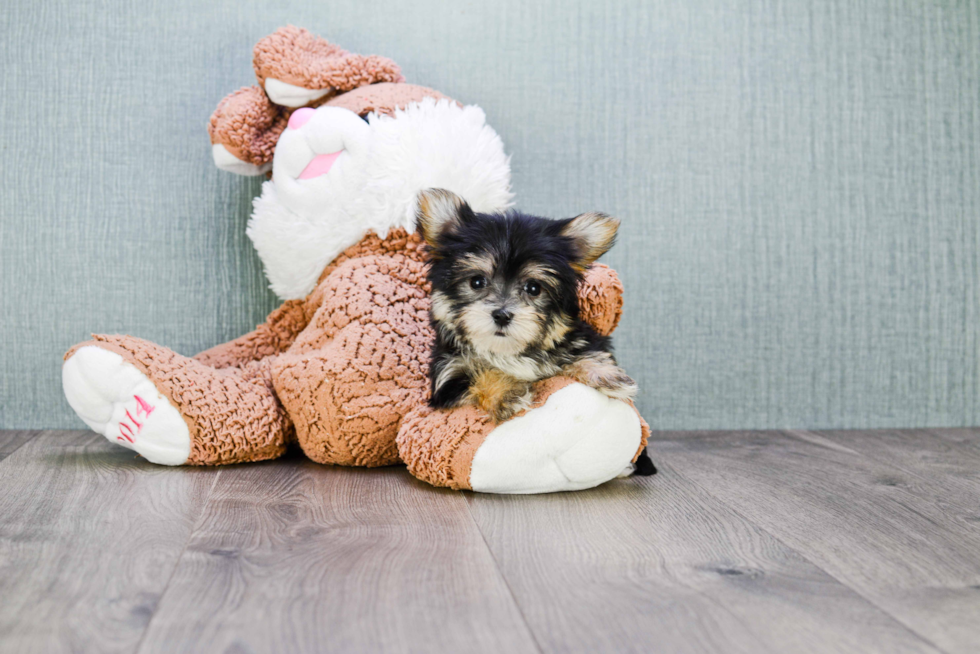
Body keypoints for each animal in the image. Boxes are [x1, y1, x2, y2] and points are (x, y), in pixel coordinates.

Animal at [418, 190, 656, 476]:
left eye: (533, 288)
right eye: (476, 281)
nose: (502, 314)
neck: (508, 352)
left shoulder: (577, 338)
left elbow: (582, 352)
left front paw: (607, 375)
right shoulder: (449, 376)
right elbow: (479, 373)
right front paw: (508, 393)